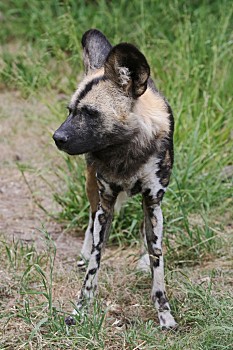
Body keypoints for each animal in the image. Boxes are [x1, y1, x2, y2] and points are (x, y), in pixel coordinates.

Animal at [52, 29, 177, 328]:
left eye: (89, 113)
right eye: (70, 111)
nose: (56, 138)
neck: (125, 151)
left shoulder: (152, 202)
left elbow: (157, 258)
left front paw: (164, 313)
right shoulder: (106, 201)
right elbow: (95, 262)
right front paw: (80, 309)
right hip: (92, 189)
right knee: (90, 218)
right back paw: (84, 254)